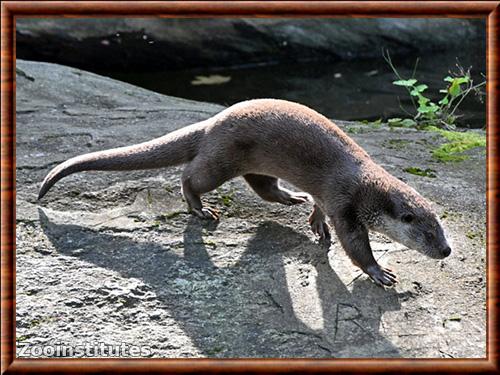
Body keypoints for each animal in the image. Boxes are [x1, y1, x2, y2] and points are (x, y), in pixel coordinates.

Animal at [39, 99, 452, 288]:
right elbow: (354, 244)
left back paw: (292, 198)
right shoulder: (344, 202)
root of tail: (211, 122)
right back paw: (201, 210)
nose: (447, 250)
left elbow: (320, 209)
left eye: (441, 227)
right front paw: (378, 271)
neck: (365, 185)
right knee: (191, 176)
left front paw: (316, 225)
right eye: (426, 233)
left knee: (263, 187)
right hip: (222, 158)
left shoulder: (330, 197)